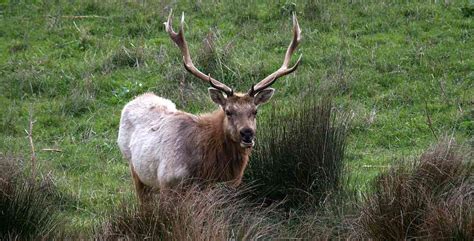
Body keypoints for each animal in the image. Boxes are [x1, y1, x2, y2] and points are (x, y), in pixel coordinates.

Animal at [118, 10, 304, 202]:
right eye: (228, 111)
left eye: (255, 111)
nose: (247, 133)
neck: (207, 170)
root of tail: (138, 98)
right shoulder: (168, 182)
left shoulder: (229, 186)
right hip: (134, 167)